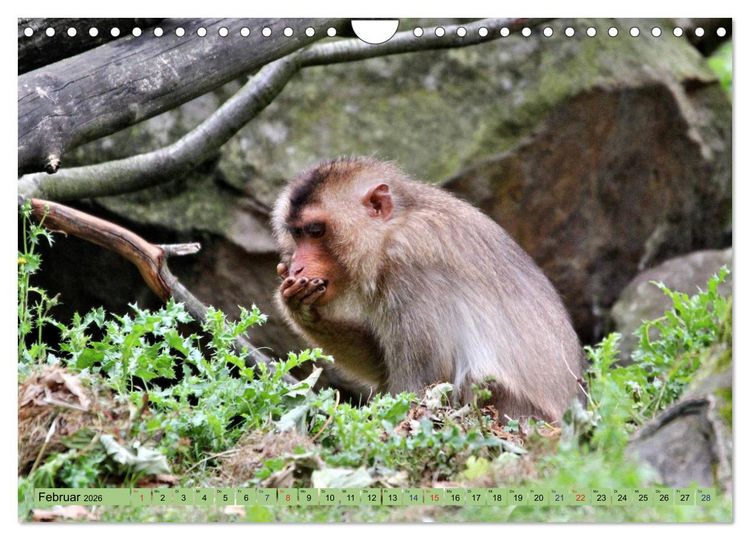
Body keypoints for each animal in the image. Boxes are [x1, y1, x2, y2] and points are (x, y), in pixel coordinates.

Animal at [271, 157, 584, 423]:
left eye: (315, 231)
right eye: (297, 233)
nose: (296, 267)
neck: (391, 232)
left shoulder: (411, 271)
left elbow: (418, 387)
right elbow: (381, 365)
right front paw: (303, 311)